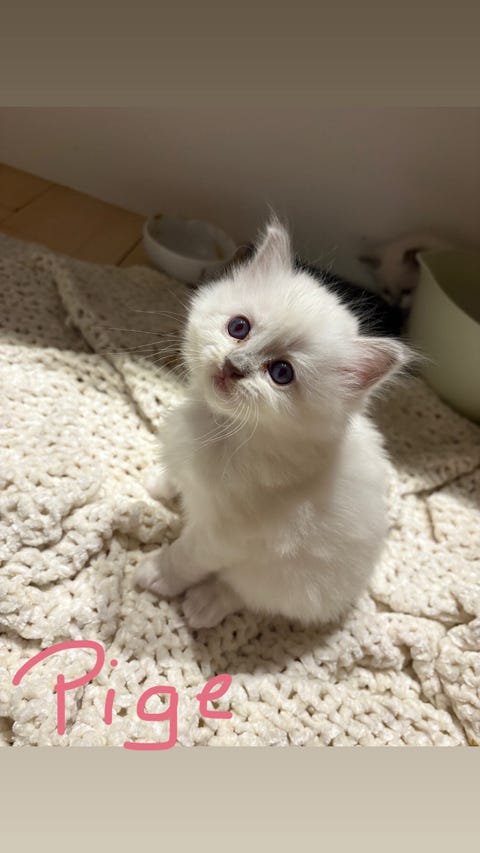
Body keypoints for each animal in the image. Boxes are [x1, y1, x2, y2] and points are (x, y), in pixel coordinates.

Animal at [135, 219, 410, 629]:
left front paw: (155, 573)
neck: (223, 426)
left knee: (248, 596)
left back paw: (204, 605)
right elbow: (178, 477)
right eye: (238, 328)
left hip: (283, 579)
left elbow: (186, 556)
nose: (233, 366)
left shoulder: (225, 534)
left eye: (281, 373)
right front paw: (162, 484)